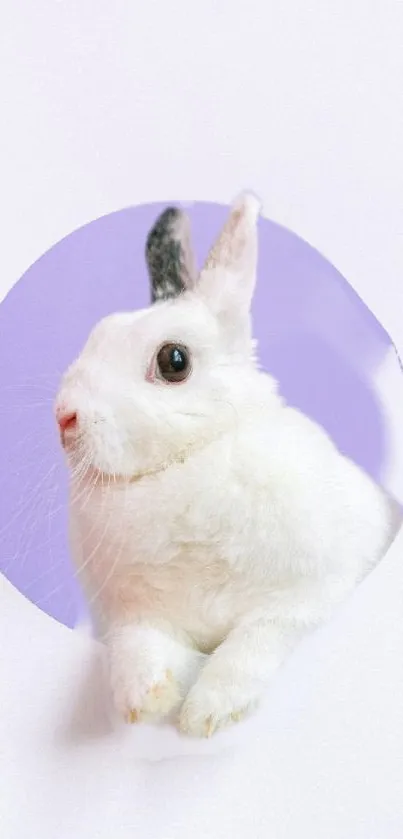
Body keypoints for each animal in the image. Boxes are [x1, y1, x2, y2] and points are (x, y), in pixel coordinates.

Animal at [55, 194, 402, 740]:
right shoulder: (133, 614)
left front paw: (207, 714)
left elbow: (253, 644)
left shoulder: (308, 594)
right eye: (98, 334)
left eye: (174, 360)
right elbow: (138, 647)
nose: (64, 417)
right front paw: (143, 700)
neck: (187, 461)